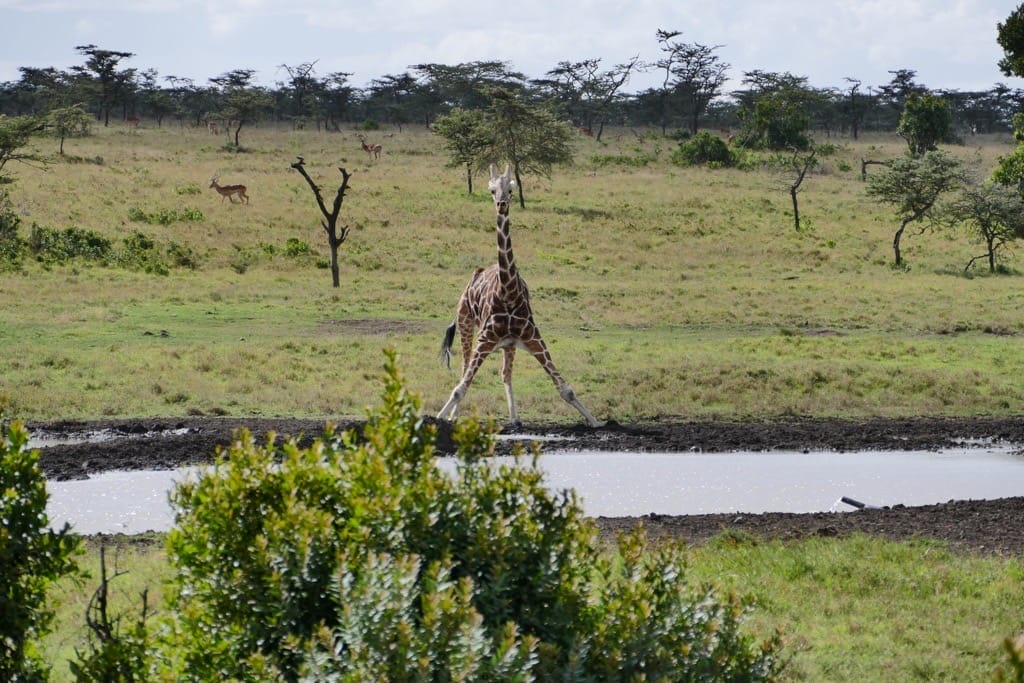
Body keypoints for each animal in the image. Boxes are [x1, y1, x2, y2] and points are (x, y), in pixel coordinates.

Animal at [437, 163, 602, 427]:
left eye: (511, 189)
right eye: (491, 190)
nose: (501, 204)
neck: (509, 293)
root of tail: (474, 275)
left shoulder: (533, 337)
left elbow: (565, 389)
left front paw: (596, 422)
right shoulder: (485, 338)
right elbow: (459, 388)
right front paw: (438, 417)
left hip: (509, 345)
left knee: (505, 373)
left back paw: (514, 418)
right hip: (465, 323)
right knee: (464, 368)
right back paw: (454, 416)